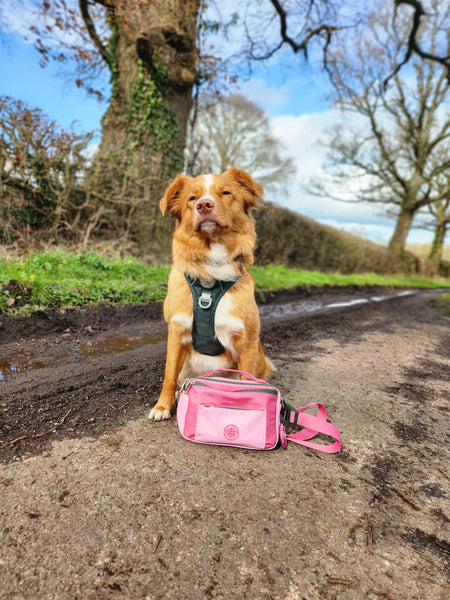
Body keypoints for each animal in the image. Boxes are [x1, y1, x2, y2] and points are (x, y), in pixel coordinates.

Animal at [149, 166, 274, 422]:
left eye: (226, 193)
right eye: (192, 198)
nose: (204, 205)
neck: (210, 278)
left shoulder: (247, 341)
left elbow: (246, 381)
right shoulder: (177, 332)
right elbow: (168, 374)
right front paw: (162, 405)